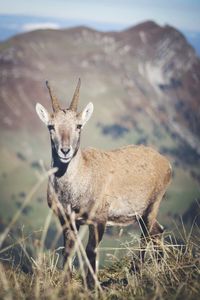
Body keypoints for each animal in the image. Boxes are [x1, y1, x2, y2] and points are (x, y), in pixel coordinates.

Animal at [35, 79, 172, 288]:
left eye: (78, 126)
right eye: (51, 126)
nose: (65, 151)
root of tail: (166, 163)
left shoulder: (98, 218)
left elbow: (91, 250)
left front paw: (92, 286)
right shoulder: (66, 219)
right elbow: (68, 250)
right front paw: (65, 285)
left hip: (153, 204)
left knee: (147, 235)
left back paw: (137, 272)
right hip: (141, 213)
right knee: (157, 231)